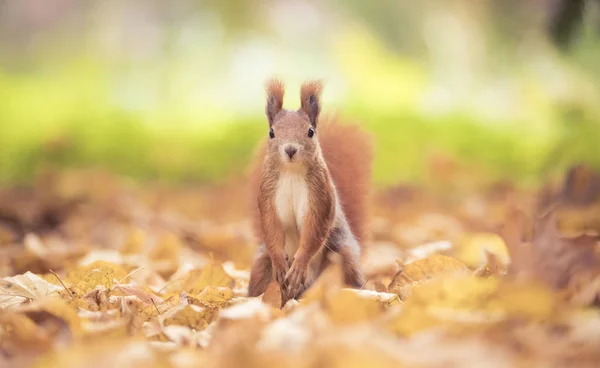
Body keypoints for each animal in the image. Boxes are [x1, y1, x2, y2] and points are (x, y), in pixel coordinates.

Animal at [246, 79, 372, 304]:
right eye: (271, 132)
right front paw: (281, 265)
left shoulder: (320, 195)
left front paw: (298, 265)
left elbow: (314, 230)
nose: (290, 149)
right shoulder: (267, 194)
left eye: (310, 131)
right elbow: (270, 226)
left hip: (344, 255)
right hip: (261, 264)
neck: (291, 172)